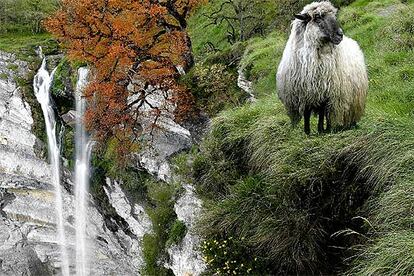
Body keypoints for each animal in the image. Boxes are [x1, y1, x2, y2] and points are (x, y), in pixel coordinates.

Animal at [276, 0, 368, 135]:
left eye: (334, 16)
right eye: (318, 18)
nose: (340, 35)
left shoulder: (326, 91)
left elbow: (321, 112)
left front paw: (321, 130)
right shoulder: (304, 93)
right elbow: (307, 113)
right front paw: (307, 132)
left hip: (349, 98)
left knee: (330, 113)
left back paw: (336, 127)